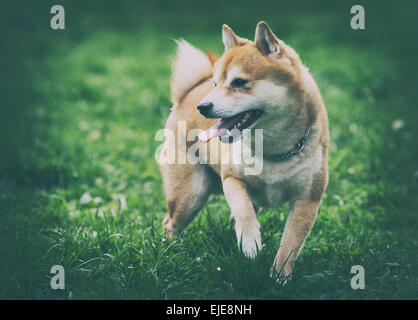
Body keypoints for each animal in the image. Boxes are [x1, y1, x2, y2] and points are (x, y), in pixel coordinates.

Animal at [162, 21, 328, 276]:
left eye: (239, 82)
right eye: (216, 84)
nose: (203, 107)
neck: (274, 151)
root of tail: (189, 93)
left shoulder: (307, 199)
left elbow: (290, 244)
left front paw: (279, 277)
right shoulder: (232, 178)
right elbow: (243, 211)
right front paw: (250, 243)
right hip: (190, 195)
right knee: (170, 223)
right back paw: (173, 249)